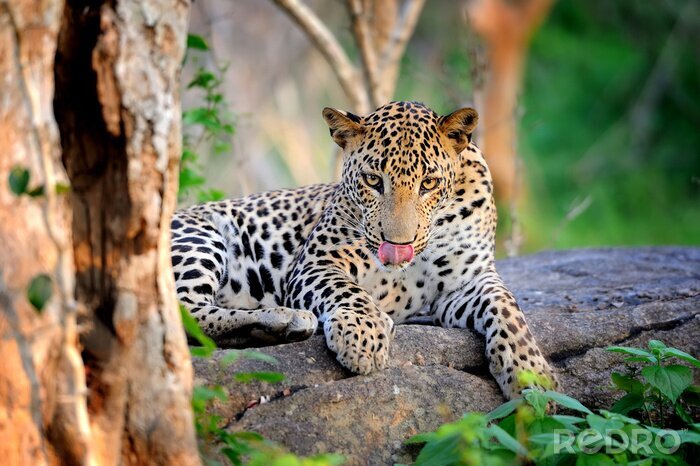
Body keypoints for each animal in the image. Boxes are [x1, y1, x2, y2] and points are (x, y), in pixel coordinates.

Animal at [171, 101, 557, 398]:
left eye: (429, 183)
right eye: (373, 180)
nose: (398, 246)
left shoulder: (467, 282)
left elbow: (507, 308)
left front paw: (532, 375)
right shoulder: (316, 263)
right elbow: (348, 290)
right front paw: (363, 336)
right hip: (199, 235)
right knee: (184, 312)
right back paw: (283, 319)